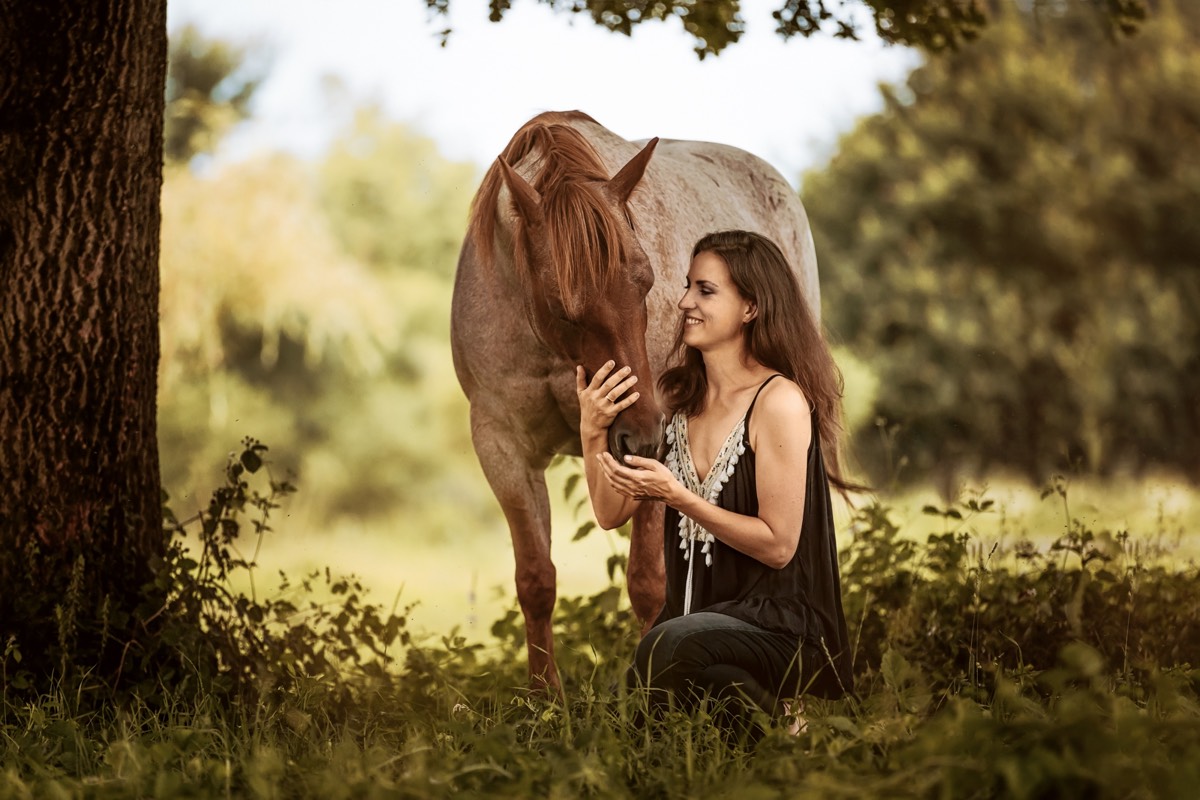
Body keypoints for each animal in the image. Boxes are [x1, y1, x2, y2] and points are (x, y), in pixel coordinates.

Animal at [451, 109, 825, 690]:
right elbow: (535, 580)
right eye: (563, 303)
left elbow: (650, 585)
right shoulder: (502, 445)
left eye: (646, 280)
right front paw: (543, 697)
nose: (643, 435)